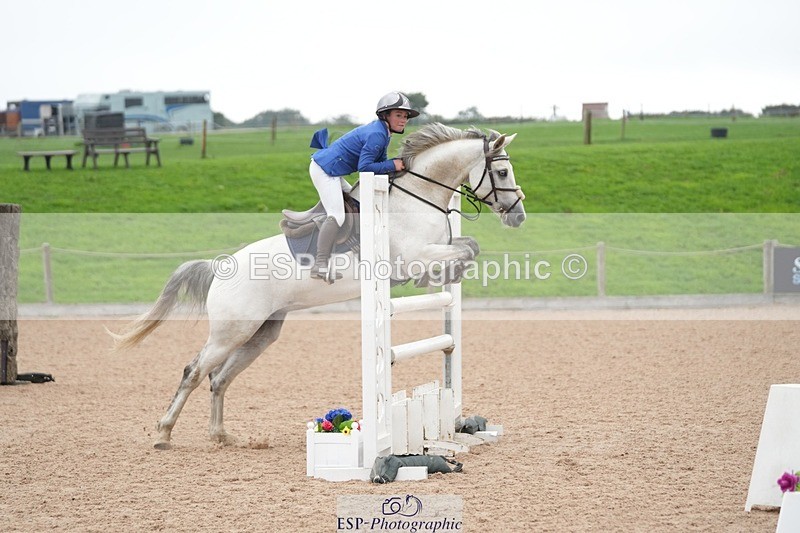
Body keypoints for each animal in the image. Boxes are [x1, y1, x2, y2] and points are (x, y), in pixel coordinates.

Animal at [110, 122, 526, 449]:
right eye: (503, 172)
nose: (518, 216)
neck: (416, 200)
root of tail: (220, 268)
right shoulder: (412, 257)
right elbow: (462, 251)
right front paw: (442, 276)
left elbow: (469, 246)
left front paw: (449, 277)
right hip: (232, 330)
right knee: (194, 372)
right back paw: (163, 434)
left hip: (261, 333)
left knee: (219, 378)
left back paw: (221, 436)